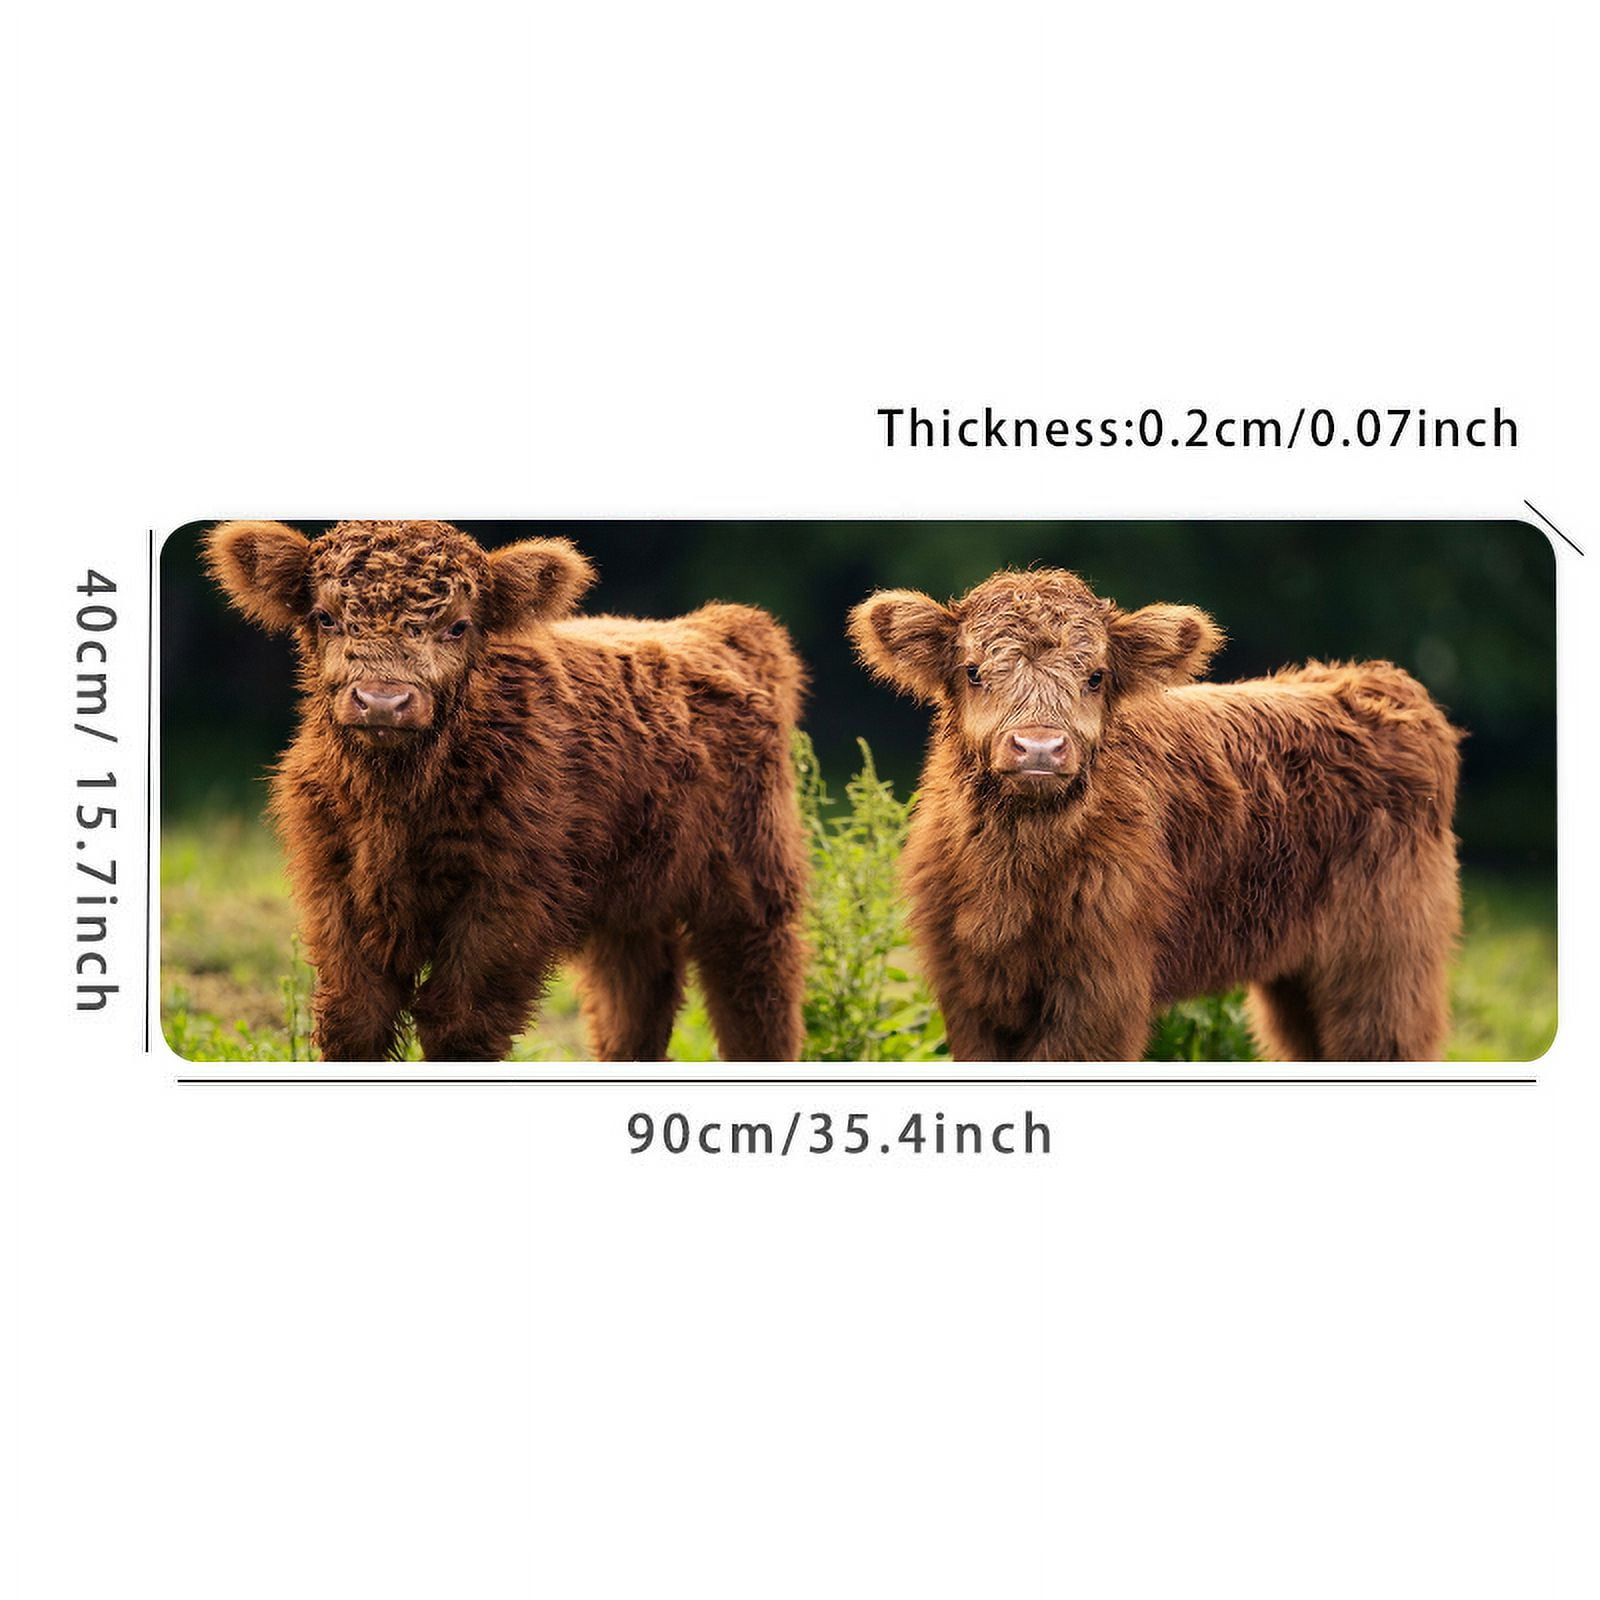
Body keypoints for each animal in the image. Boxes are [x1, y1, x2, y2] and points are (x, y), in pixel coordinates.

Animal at [204, 520, 808, 1062]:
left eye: (458, 626)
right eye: (326, 617)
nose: (382, 700)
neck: (397, 801)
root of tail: (723, 627)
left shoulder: (508, 899)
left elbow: (459, 1026)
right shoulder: (334, 885)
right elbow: (355, 1021)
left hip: (751, 887)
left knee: (756, 1005)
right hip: (631, 906)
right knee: (633, 1010)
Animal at [849, 568, 1462, 1062]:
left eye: (1095, 676)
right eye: (974, 672)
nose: (1039, 748)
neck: (1015, 880)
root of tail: (1375, 680)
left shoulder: (1102, 992)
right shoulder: (966, 989)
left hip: (1384, 961)